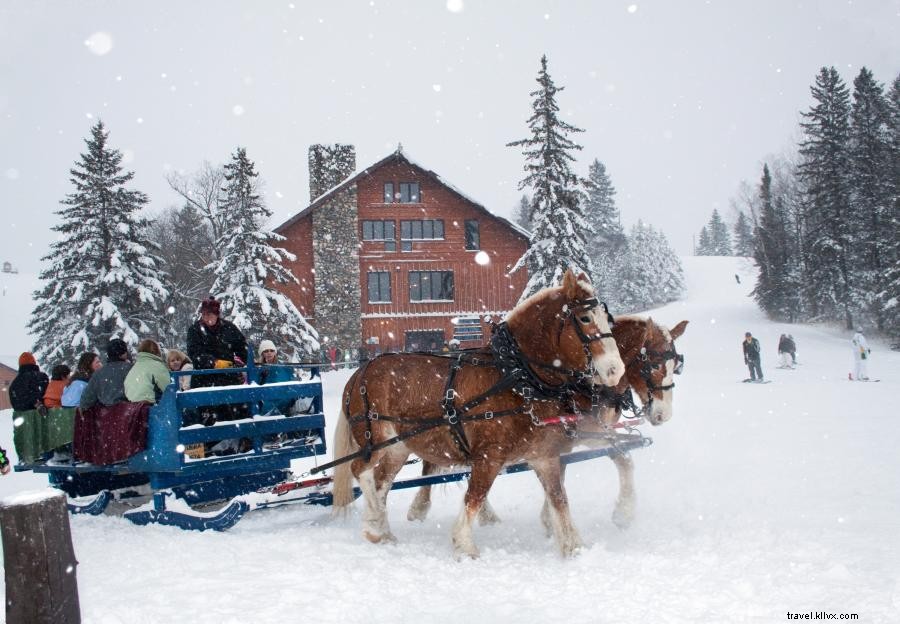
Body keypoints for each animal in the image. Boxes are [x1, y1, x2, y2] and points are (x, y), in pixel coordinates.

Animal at [332, 268, 624, 556]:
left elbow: (559, 500)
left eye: (606, 318)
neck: (516, 376)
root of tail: (360, 372)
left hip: (398, 447)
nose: (615, 370)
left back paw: (384, 531)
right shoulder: (488, 456)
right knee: (361, 471)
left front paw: (574, 548)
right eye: (585, 318)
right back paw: (374, 523)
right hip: (375, 439)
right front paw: (464, 544)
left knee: (382, 481)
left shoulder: (544, 455)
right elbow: (475, 496)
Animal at [408, 316, 688, 532]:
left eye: (677, 366)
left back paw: (484, 515)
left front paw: (550, 518)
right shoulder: (584, 432)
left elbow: (565, 468)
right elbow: (620, 459)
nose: (663, 414)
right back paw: (419, 509)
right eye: (653, 364)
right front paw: (623, 513)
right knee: (432, 465)